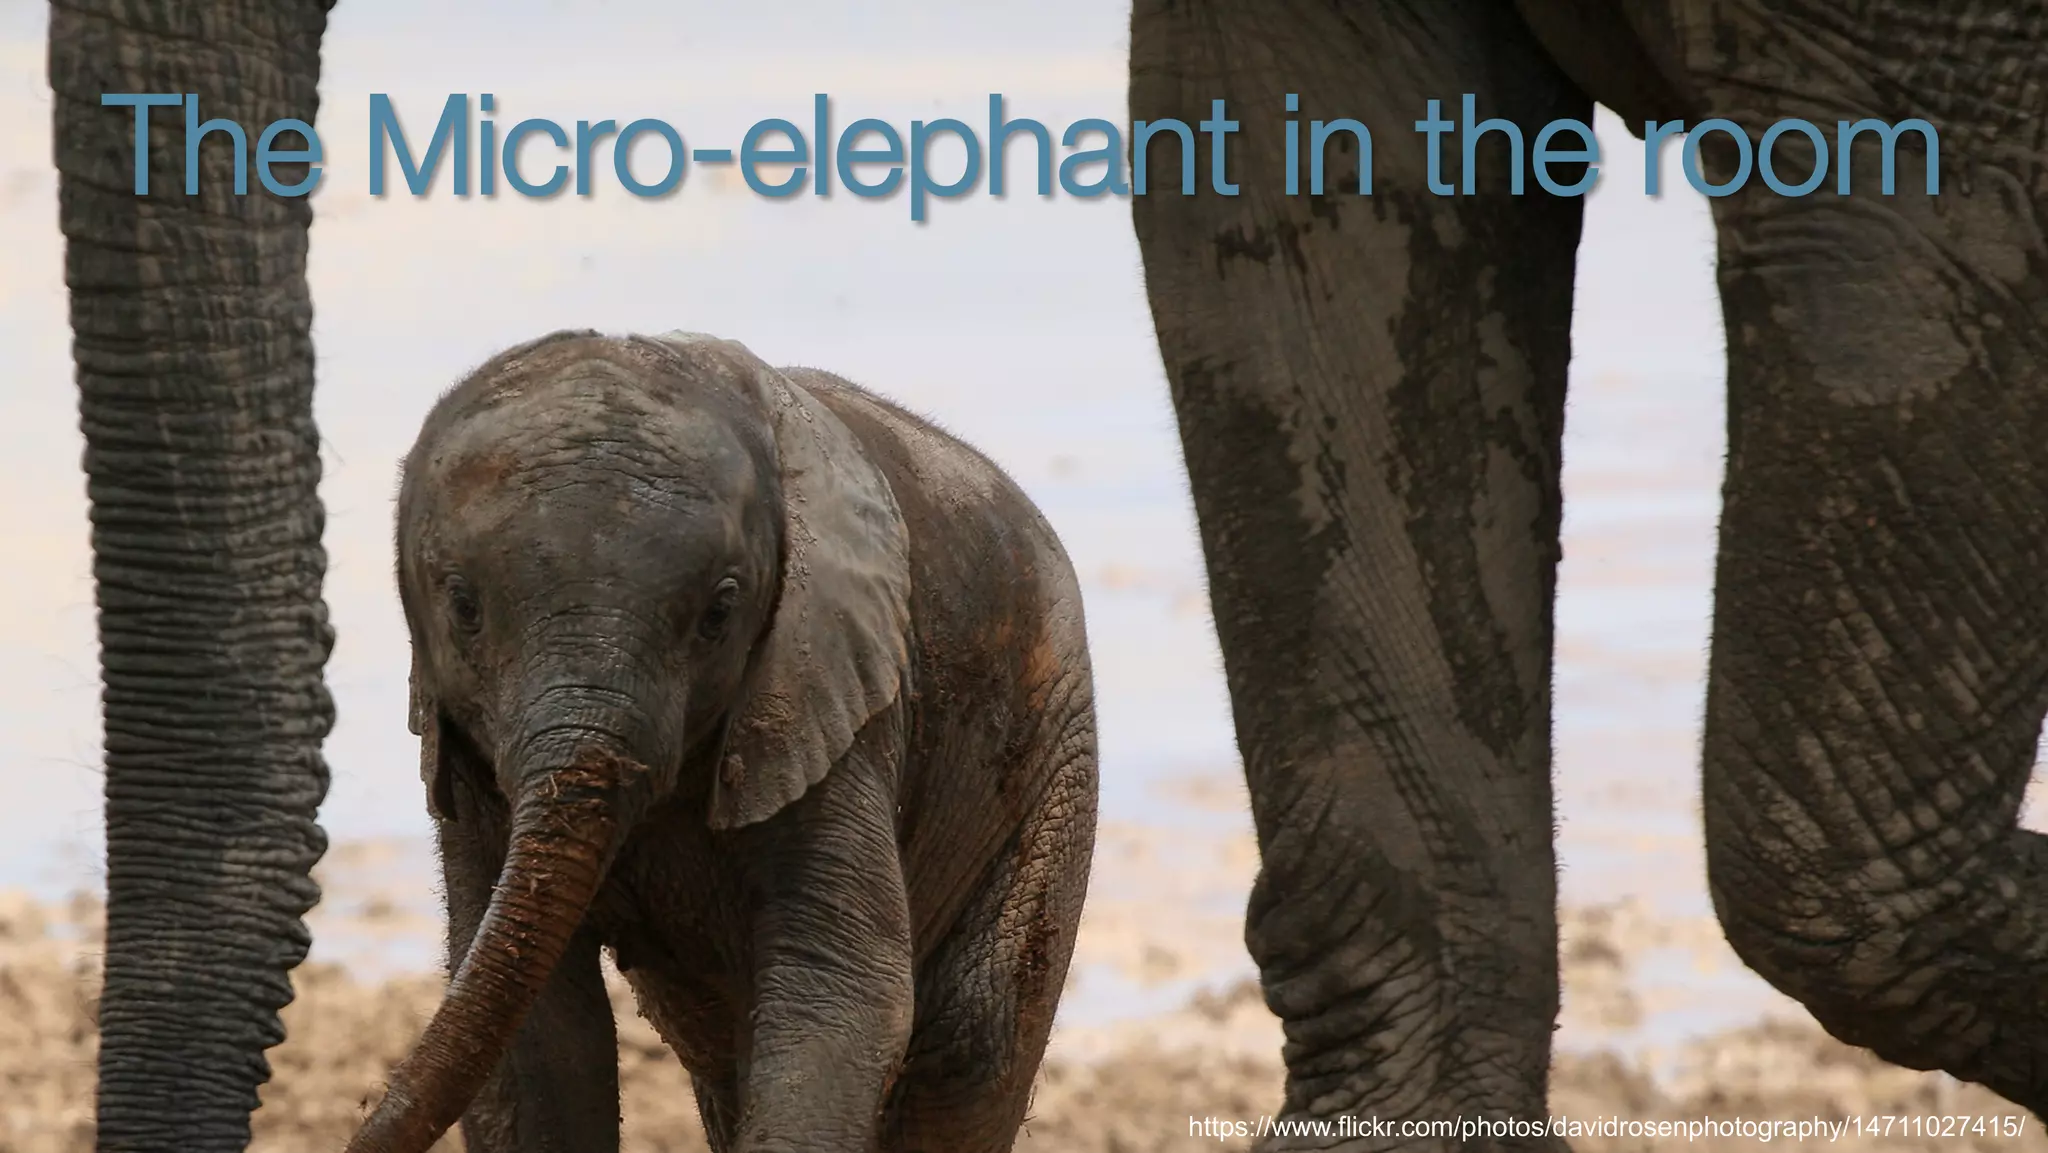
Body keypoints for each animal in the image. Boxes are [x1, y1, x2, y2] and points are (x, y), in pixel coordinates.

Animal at [340, 329, 1098, 1153]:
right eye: (464, 606)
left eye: (720, 610)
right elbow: (534, 1034)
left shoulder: (829, 701)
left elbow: (838, 990)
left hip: (1055, 754)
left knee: (970, 1043)